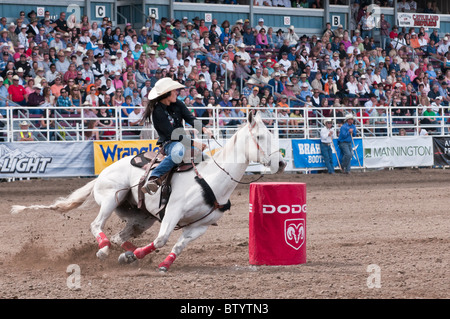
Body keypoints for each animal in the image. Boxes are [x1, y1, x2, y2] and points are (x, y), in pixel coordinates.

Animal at [11, 111, 284, 272]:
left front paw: (159, 263)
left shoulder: (201, 226)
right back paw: (104, 249)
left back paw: (125, 252)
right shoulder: (173, 211)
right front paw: (136, 256)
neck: (209, 179)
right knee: (97, 225)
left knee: (120, 236)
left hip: (142, 218)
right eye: (260, 136)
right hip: (110, 199)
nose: (281, 163)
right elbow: (162, 239)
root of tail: (103, 173)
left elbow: (177, 246)